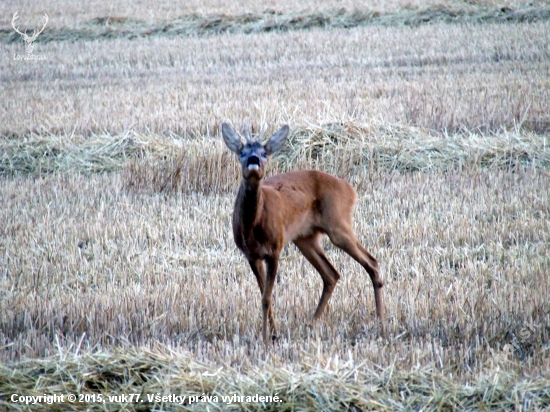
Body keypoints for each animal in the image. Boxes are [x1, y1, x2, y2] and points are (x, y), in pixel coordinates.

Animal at [222, 122, 386, 344]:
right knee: (331, 274)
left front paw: (266, 339)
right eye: (242, 152)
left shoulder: (275, 249)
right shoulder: (251, 255)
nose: (253, 160)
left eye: (264, 152)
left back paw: (380, 320)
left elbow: (266, 297)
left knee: (371, 262)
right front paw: (273, 334)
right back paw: (312, 323)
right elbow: (264, 294)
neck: (253, 225)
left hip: (338, 225)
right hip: (306, 238)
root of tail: (350, 189)